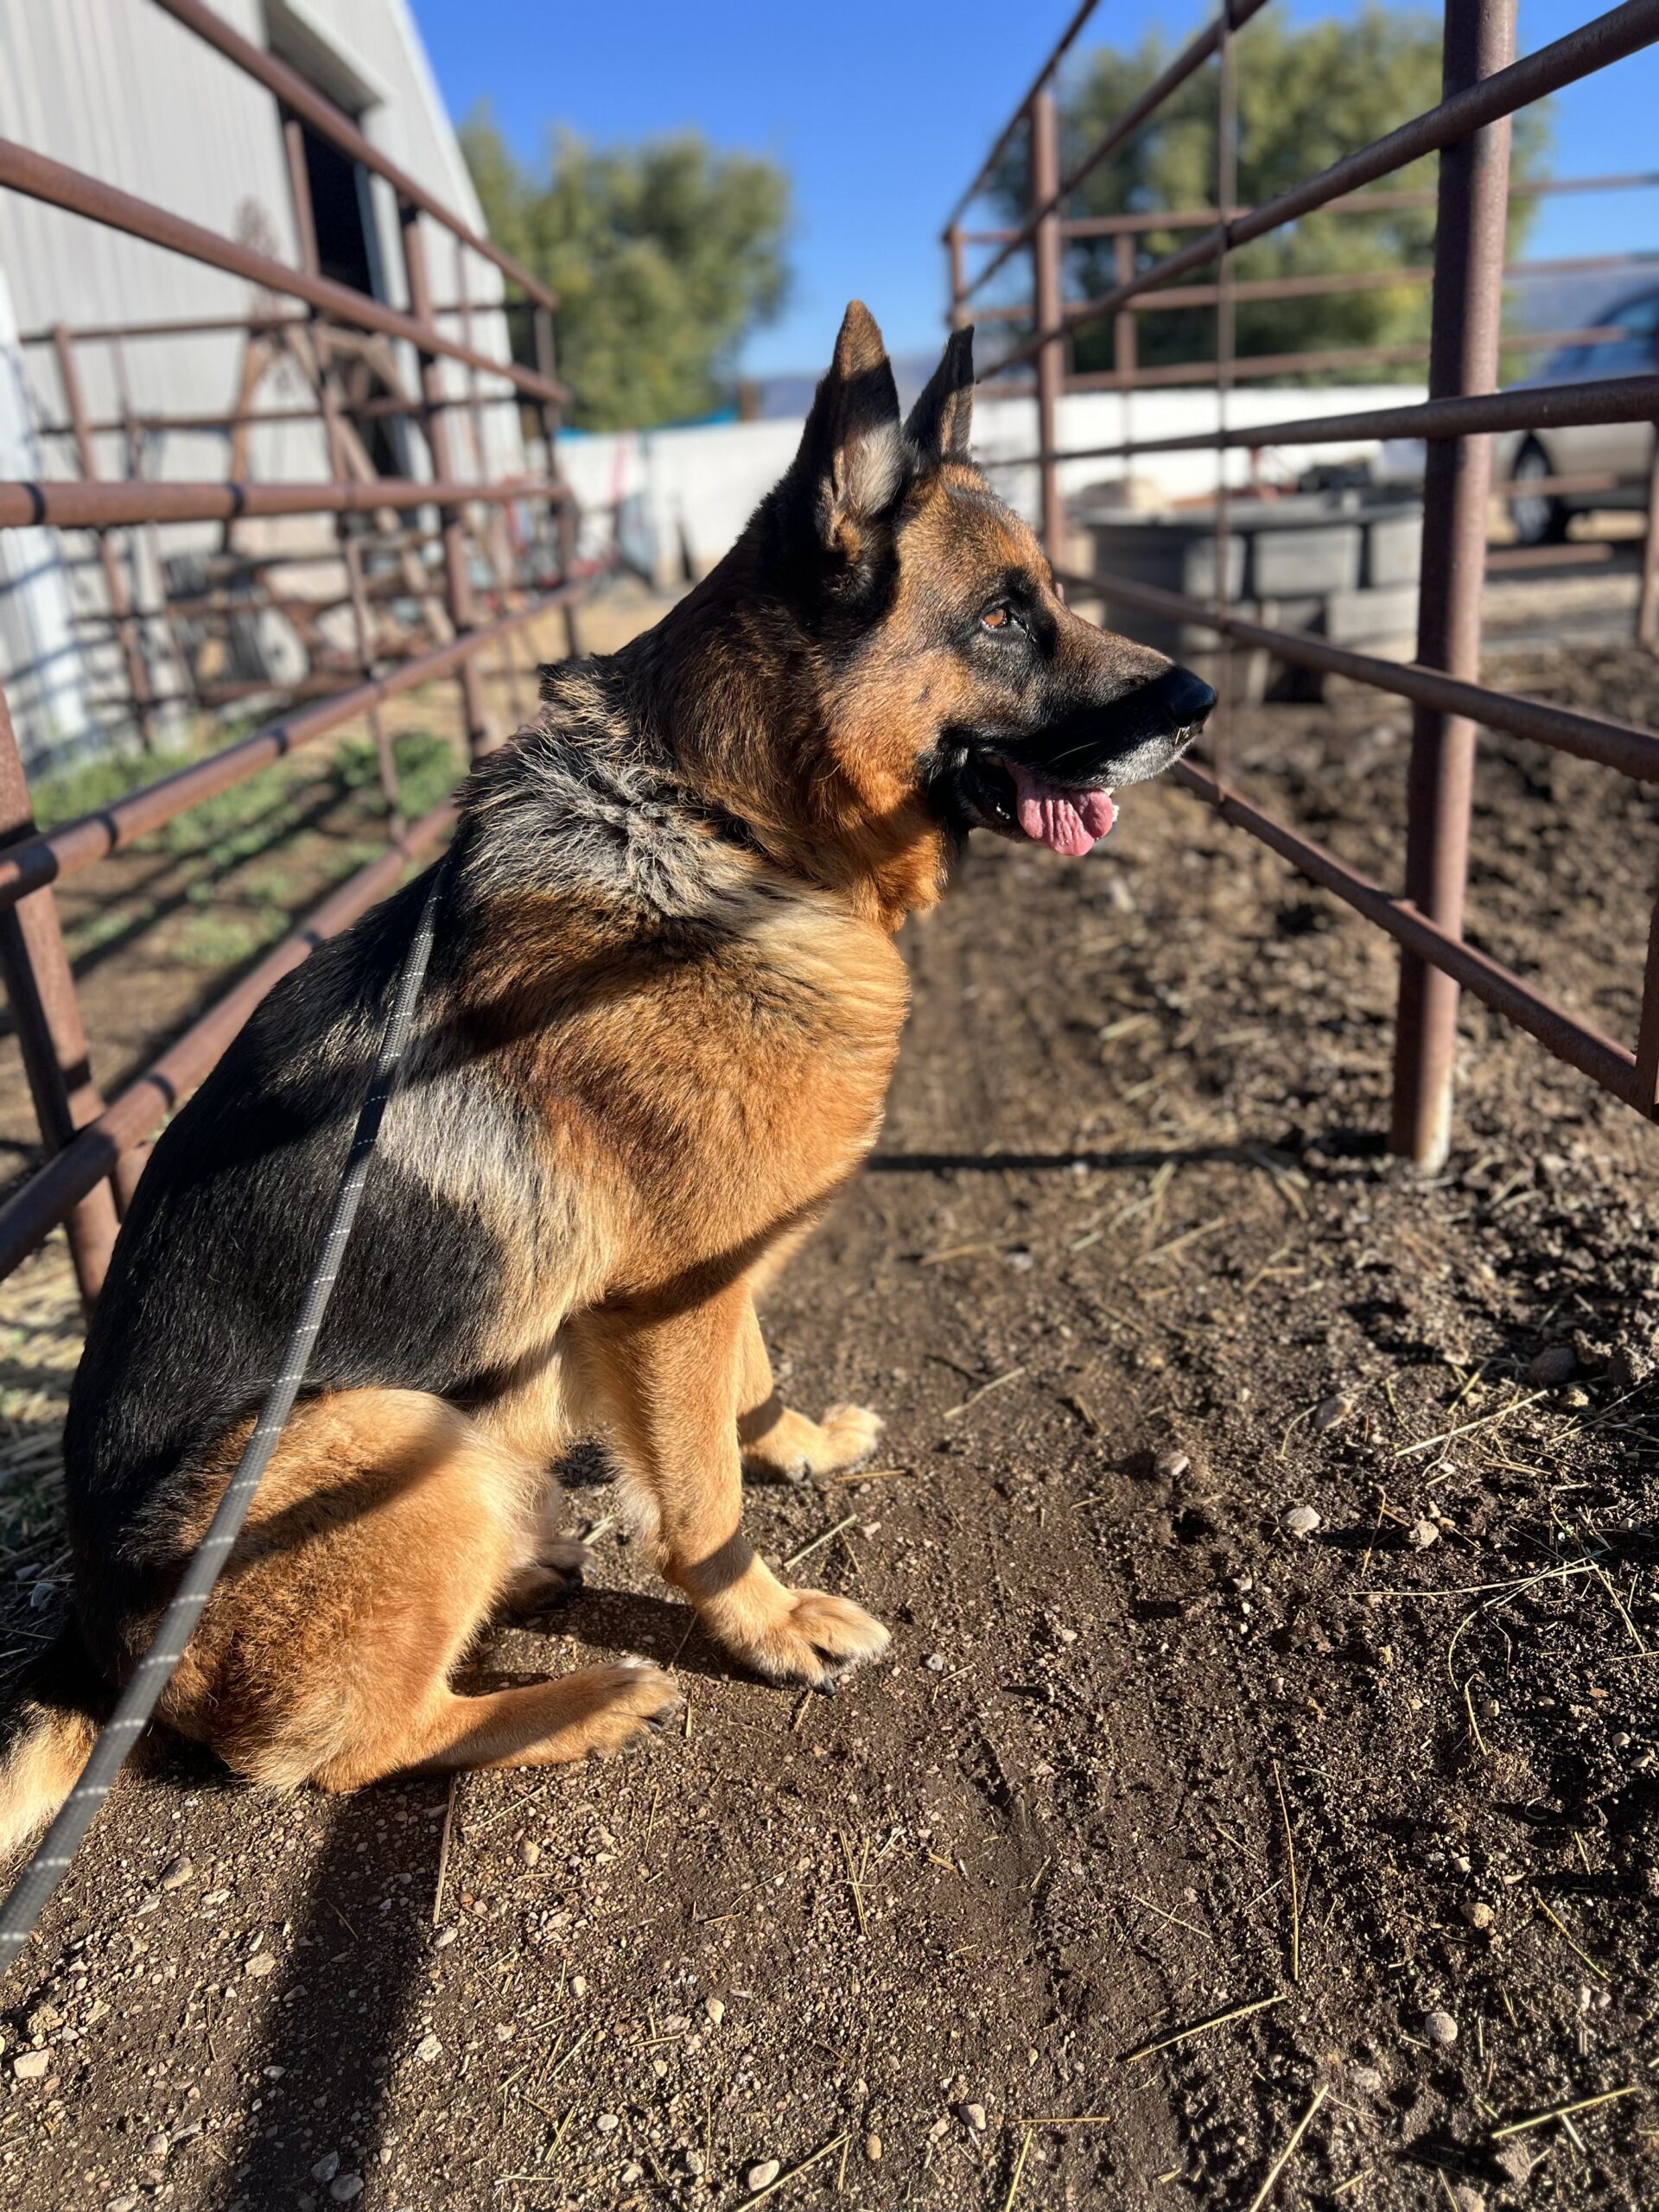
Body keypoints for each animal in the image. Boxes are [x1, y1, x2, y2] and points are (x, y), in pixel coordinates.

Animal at [3, 307, 1221, 1849]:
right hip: (393, 1428)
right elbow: (699, 1503)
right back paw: (574, 1700)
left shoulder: (704, 1287)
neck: (731, 829)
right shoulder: (666, 1303)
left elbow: (742, 1397)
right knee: (346, 1752)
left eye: (1053, 595)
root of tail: (97, 1643)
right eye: (1006, 616)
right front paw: (765, 1623)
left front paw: (791, 1441)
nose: (1206, 700)